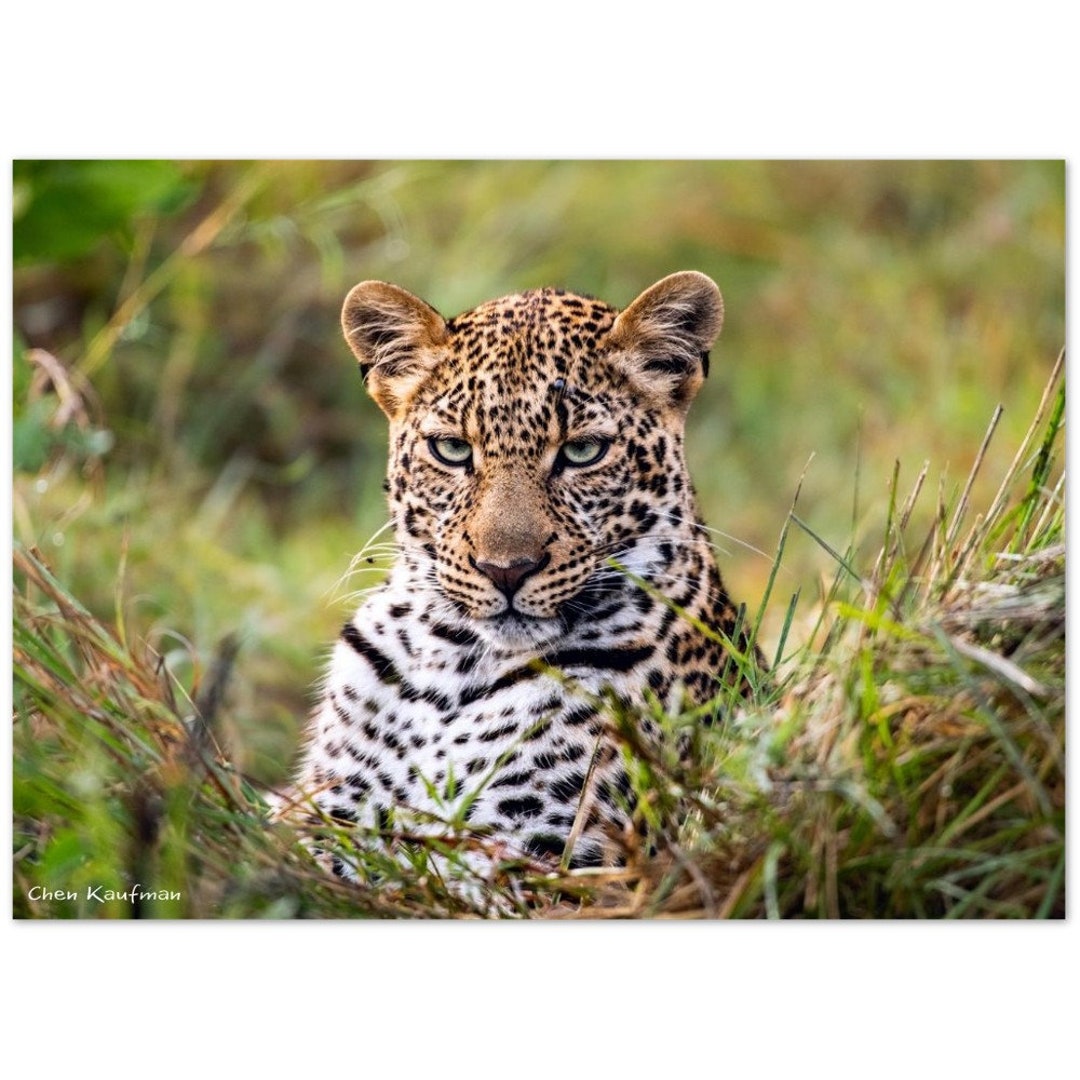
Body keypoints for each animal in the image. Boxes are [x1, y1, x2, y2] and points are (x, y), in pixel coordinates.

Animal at [284, 270, 758, 885]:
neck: (451, 667)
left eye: (583, 451)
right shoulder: (329, 814)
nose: (505, 568)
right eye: (452, 449)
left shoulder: (551, 854)